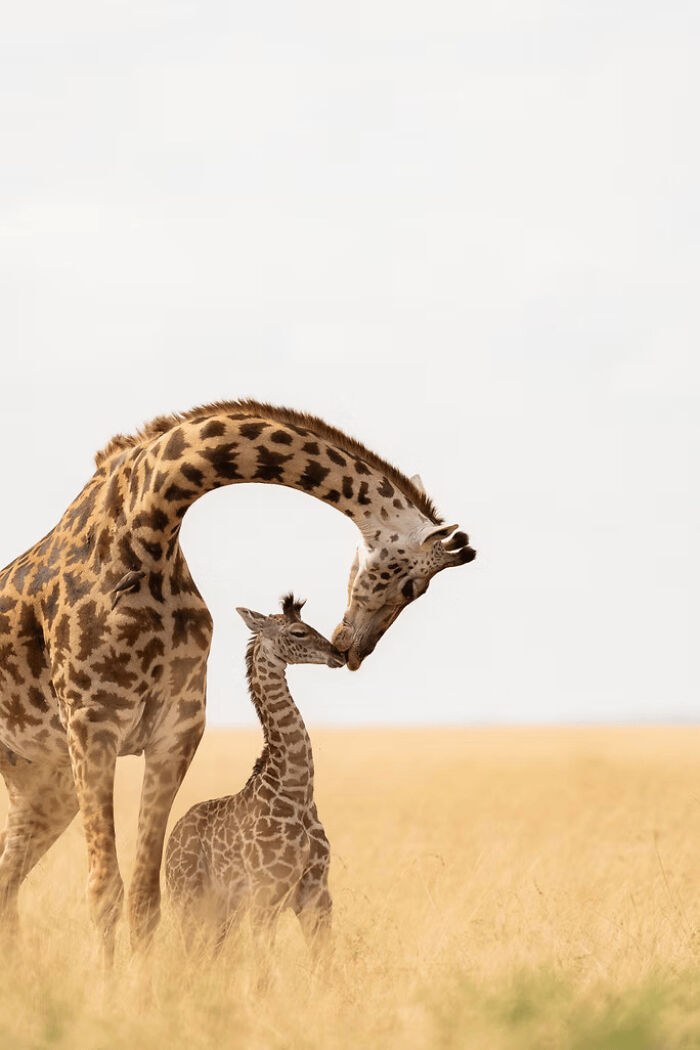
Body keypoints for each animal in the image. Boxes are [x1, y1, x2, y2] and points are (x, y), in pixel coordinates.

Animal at [165, 594, 342, 956]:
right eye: (299, 632)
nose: (339, 654)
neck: (296, 792)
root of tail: (172, 838)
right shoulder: (266, 893)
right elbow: (264, 963)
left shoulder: (317, 892)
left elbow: (326, 959)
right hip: (186, 898)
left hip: (220, 910)